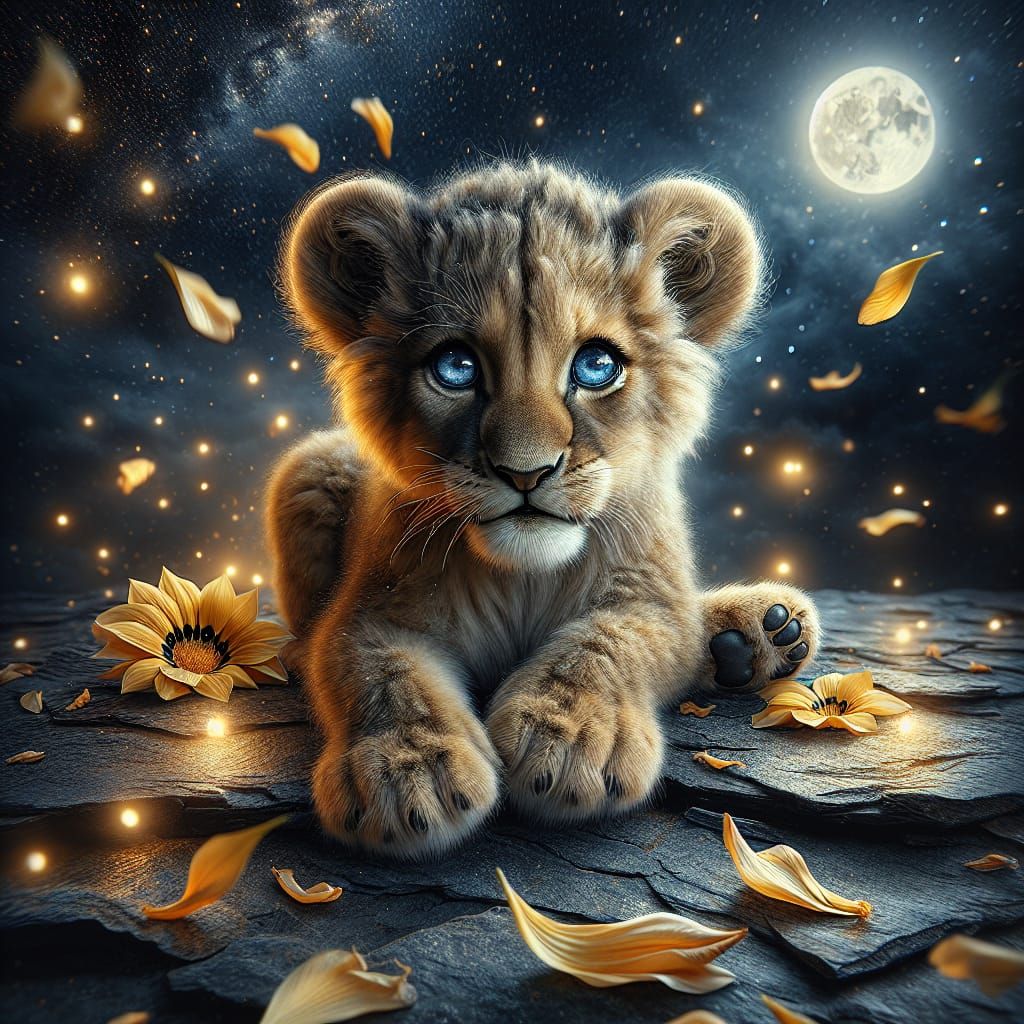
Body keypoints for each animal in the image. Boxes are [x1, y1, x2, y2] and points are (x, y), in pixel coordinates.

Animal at [267, 161, 819, 858]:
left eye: (597, 364)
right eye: (455, 367)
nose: (525, 472)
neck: (523, 577)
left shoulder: (650, 599)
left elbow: (608, 643)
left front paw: (571, 741)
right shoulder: (371, 614)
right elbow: (380, 673)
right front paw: (410, 774)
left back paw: (760, 632)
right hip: (310, 467)